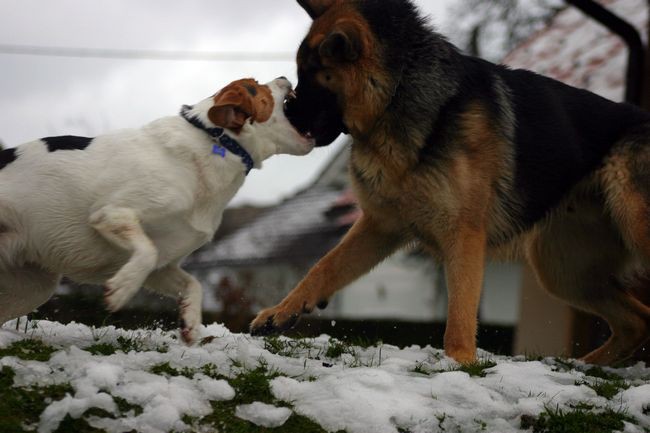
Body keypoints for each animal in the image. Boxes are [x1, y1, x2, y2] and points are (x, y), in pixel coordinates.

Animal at [0, 77, 314, 340]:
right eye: (256, 86)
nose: (284, 77)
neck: (216, 140)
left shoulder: (163, 267)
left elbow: (192, 284)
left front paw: (190, 324)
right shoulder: (112, 214)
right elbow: (146, 251)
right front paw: (121, 289)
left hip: (33, 286)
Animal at [251, 0, 648, 364]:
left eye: (312, 73)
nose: (283, 110)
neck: (398, 94)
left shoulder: (463, 234)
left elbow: (460, 308)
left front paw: (458, 361)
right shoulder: (380, 226)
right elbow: (324, 266)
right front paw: (281, 310)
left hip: (631, 224)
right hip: (563, 269)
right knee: (636, 322)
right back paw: (585, 365)